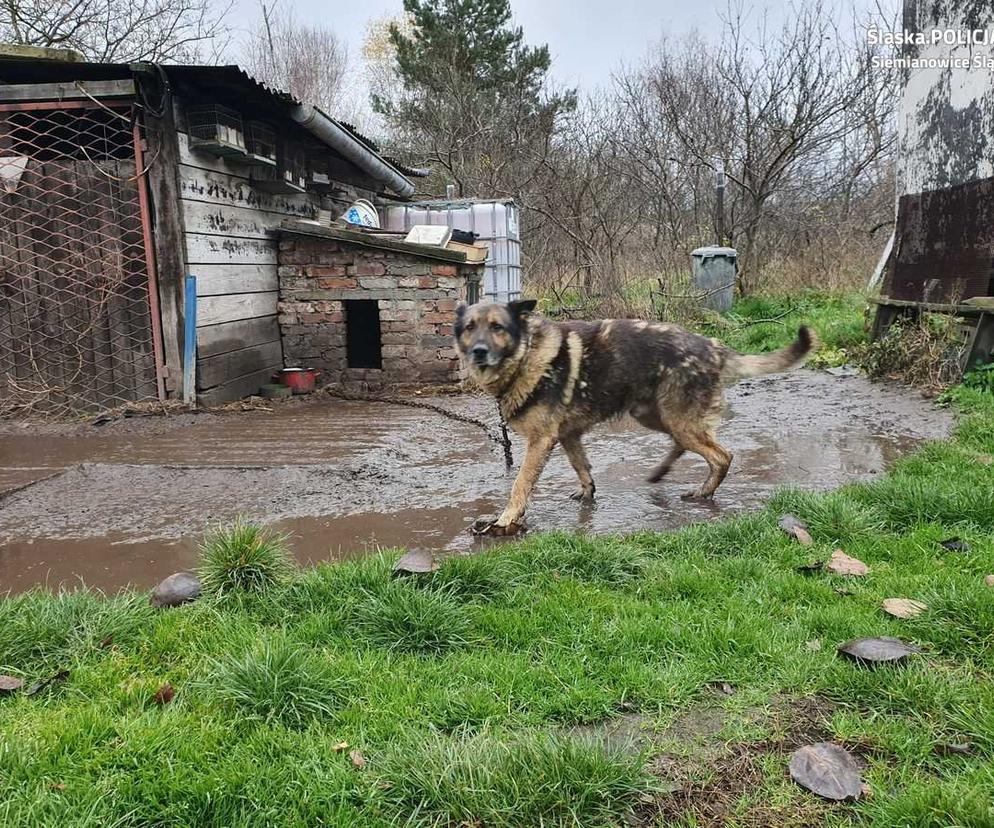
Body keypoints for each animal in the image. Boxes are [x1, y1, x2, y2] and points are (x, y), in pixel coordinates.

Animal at [456, 300, 812, 536]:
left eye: (497, 327)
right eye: (470, 328)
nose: (478, 352)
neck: (526, 354)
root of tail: (714, 347)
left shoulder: (541, 441)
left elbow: (520, 484)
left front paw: (505, 520)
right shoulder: (568, 436)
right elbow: (581, 467)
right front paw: (587, 493)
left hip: (678, 420)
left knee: (721, 456)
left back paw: (703, 492)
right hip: (656, 416)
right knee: (682, 444)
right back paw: (659, 473)